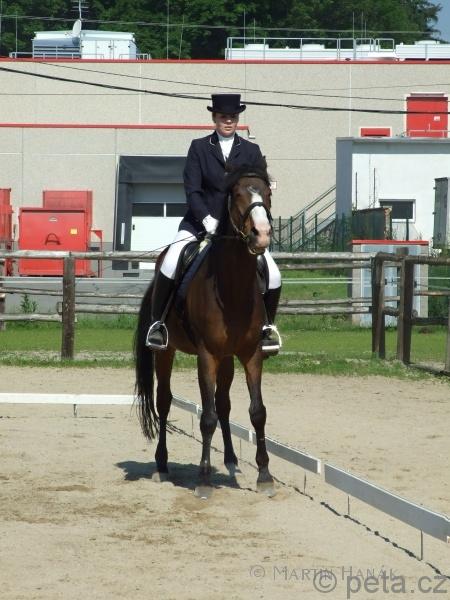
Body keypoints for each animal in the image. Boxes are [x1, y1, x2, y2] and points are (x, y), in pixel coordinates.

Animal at [134, 163, 276, 496]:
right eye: (237, 194)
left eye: (267, 193)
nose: (261, 234)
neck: (232, 287)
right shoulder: (206, 355)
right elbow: (207, 417)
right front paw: (203, 479)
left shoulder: (251, 354)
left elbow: (257, 412)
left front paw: (264, 475)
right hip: (167, 352)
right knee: (164, 400)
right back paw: (162, 465)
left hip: (227, 358)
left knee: (224, 403)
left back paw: (231, 461)